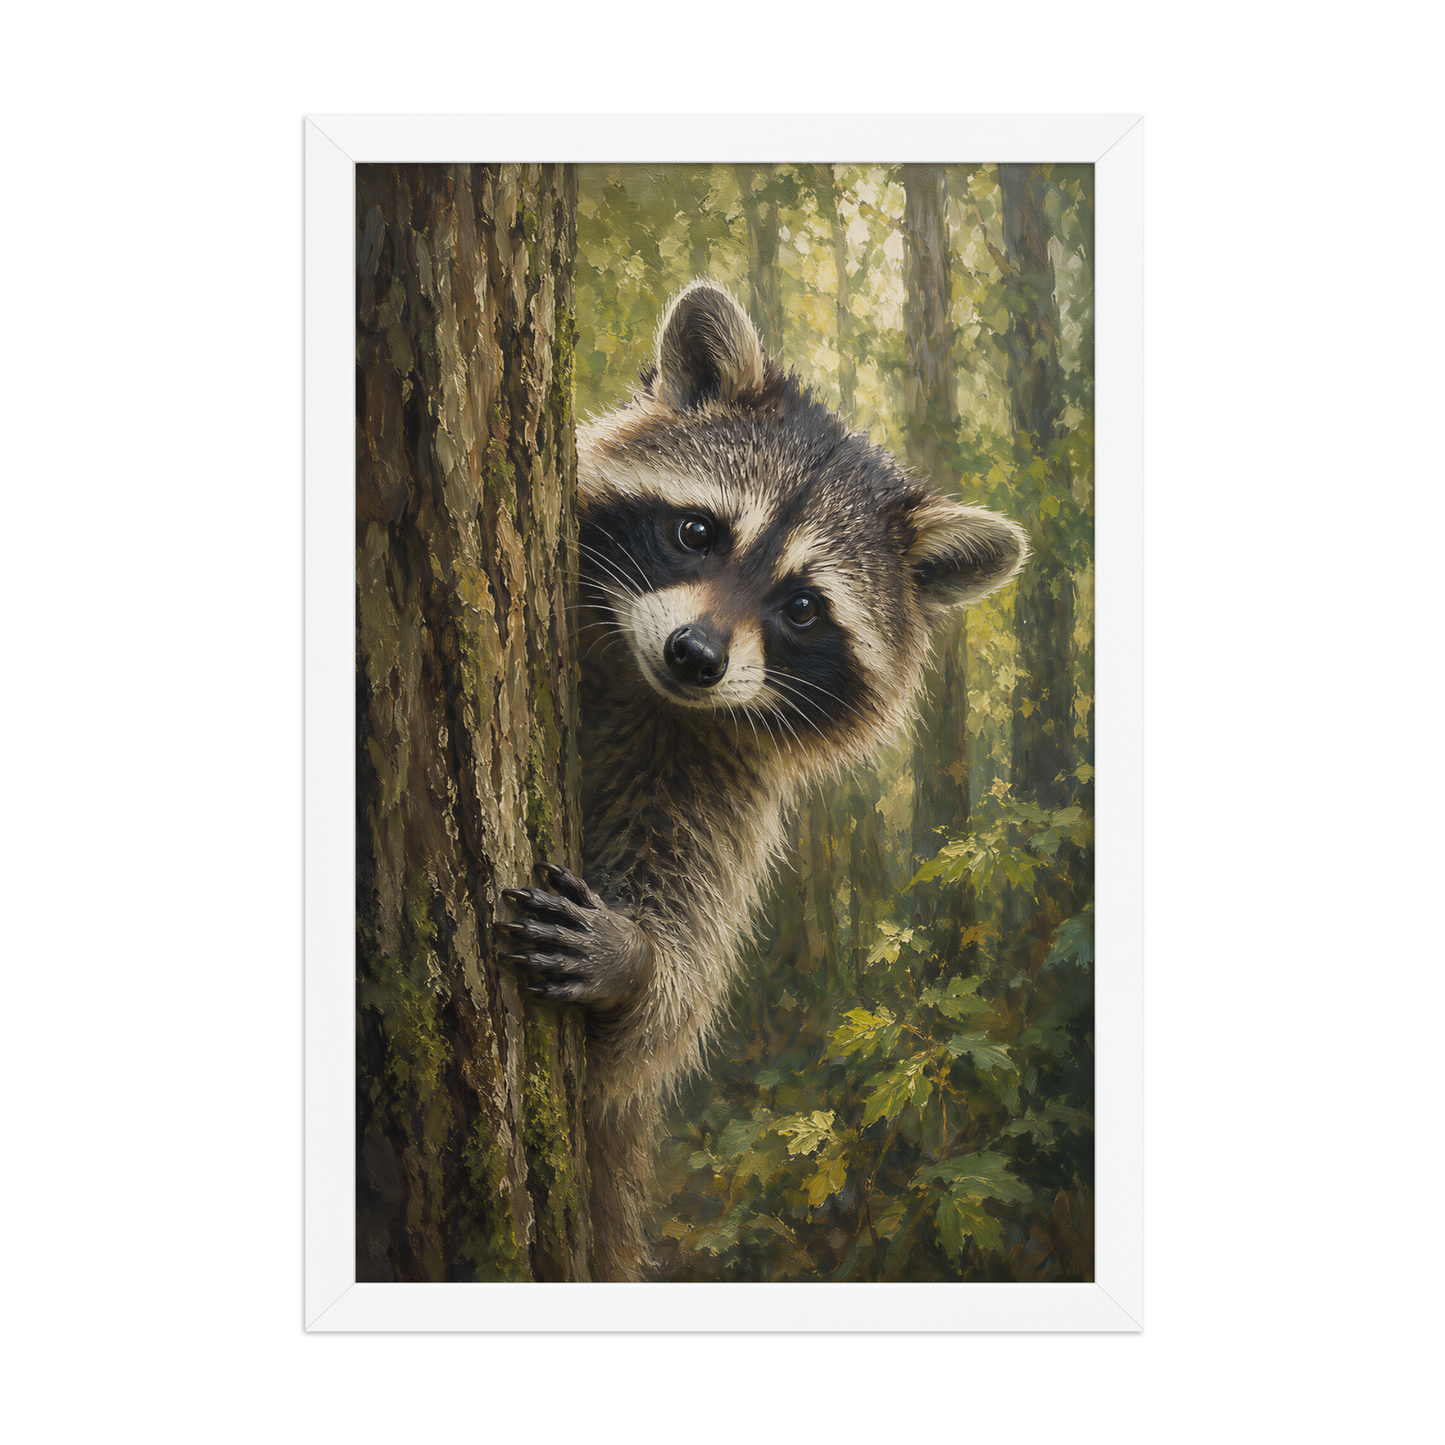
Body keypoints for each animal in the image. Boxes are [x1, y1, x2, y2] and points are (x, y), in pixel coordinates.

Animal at [500, 280, 1029, 1281]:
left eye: (803, 608)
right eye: (696, 531)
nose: (696, 655)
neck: (643, 686)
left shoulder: (718, 783)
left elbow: (662, 1011)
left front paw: (638, 962)